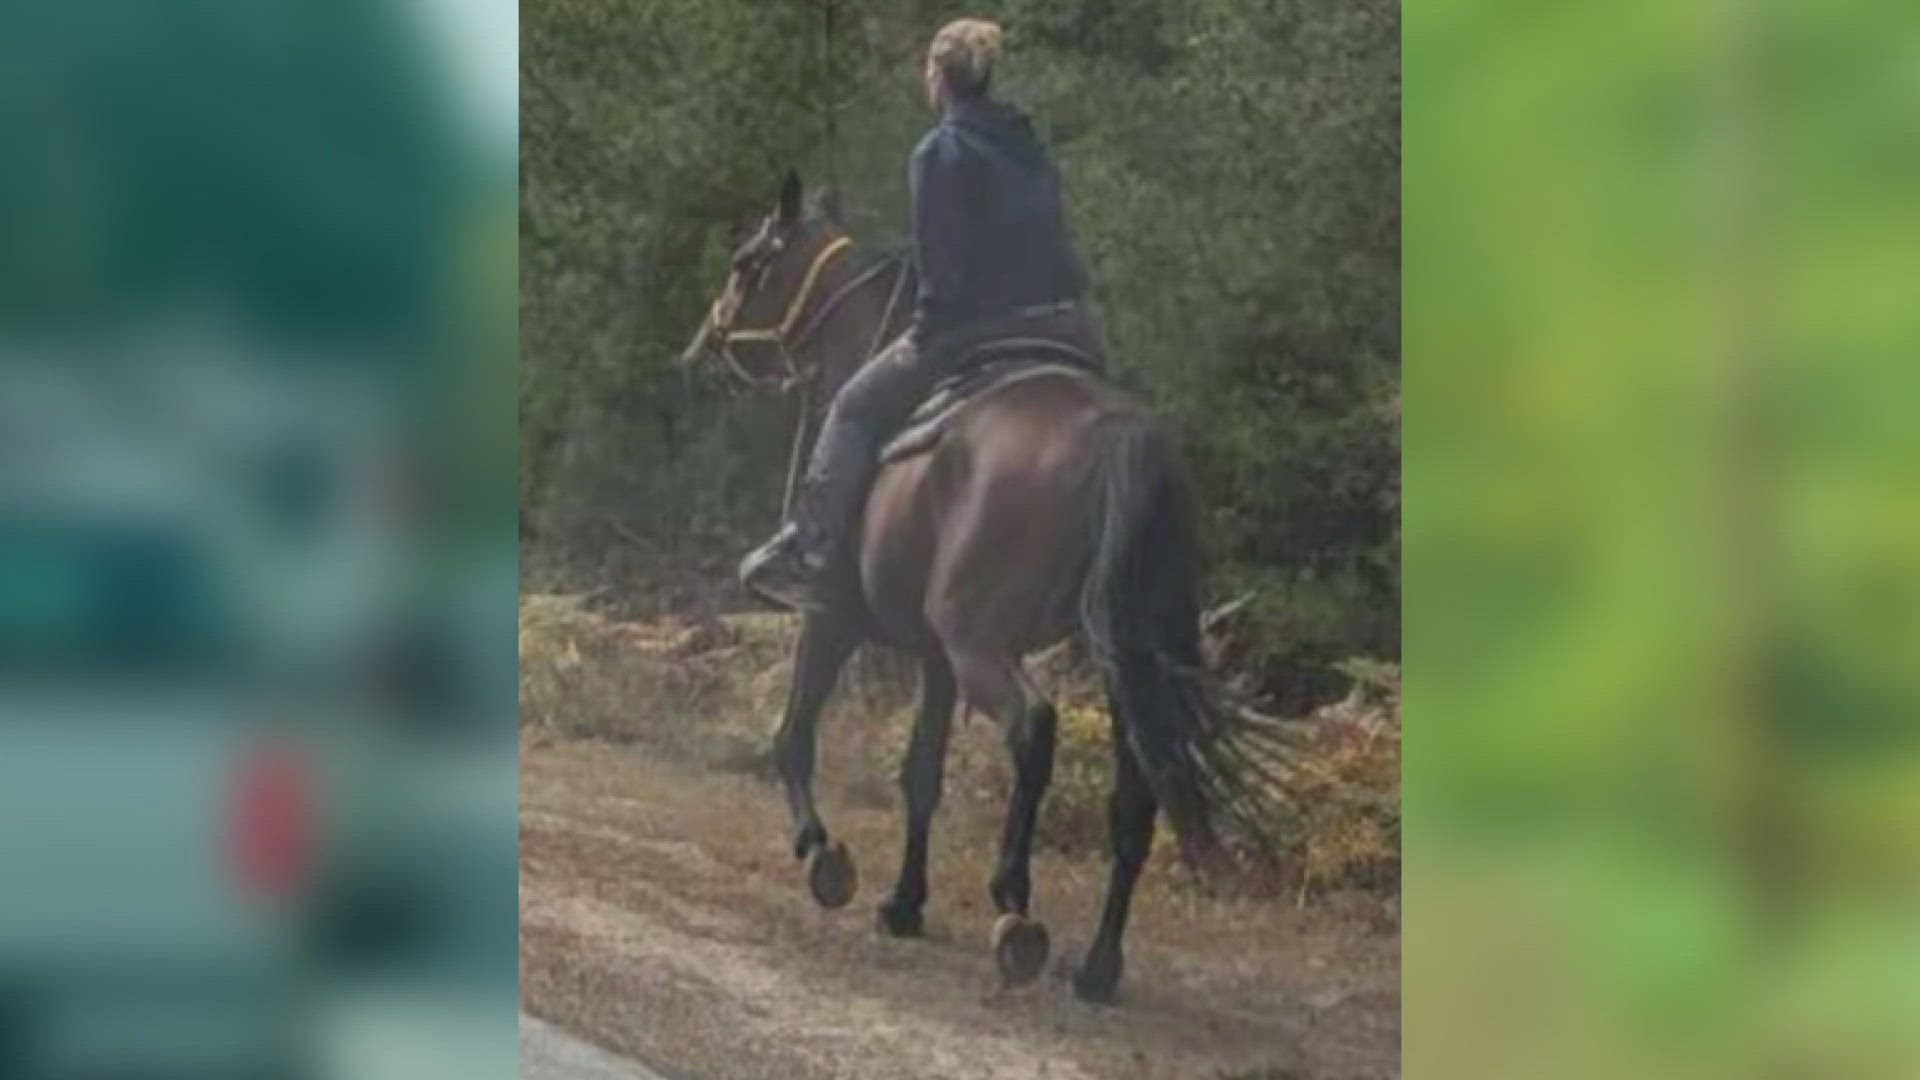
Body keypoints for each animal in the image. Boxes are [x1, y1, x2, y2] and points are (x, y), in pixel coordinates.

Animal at [675, 170, 1274, 999]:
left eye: (746, 264)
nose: (702, 344)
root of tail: (1120, 435)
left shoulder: (833, 618)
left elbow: (794, 735)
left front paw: (822, 852)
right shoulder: (933, 659)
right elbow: (921, 772)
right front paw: (903, 903)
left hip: (981, 641)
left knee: (1035, 726)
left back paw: (1014, 904)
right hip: (1122, 659)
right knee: (1137, 793)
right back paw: (1098, 965)